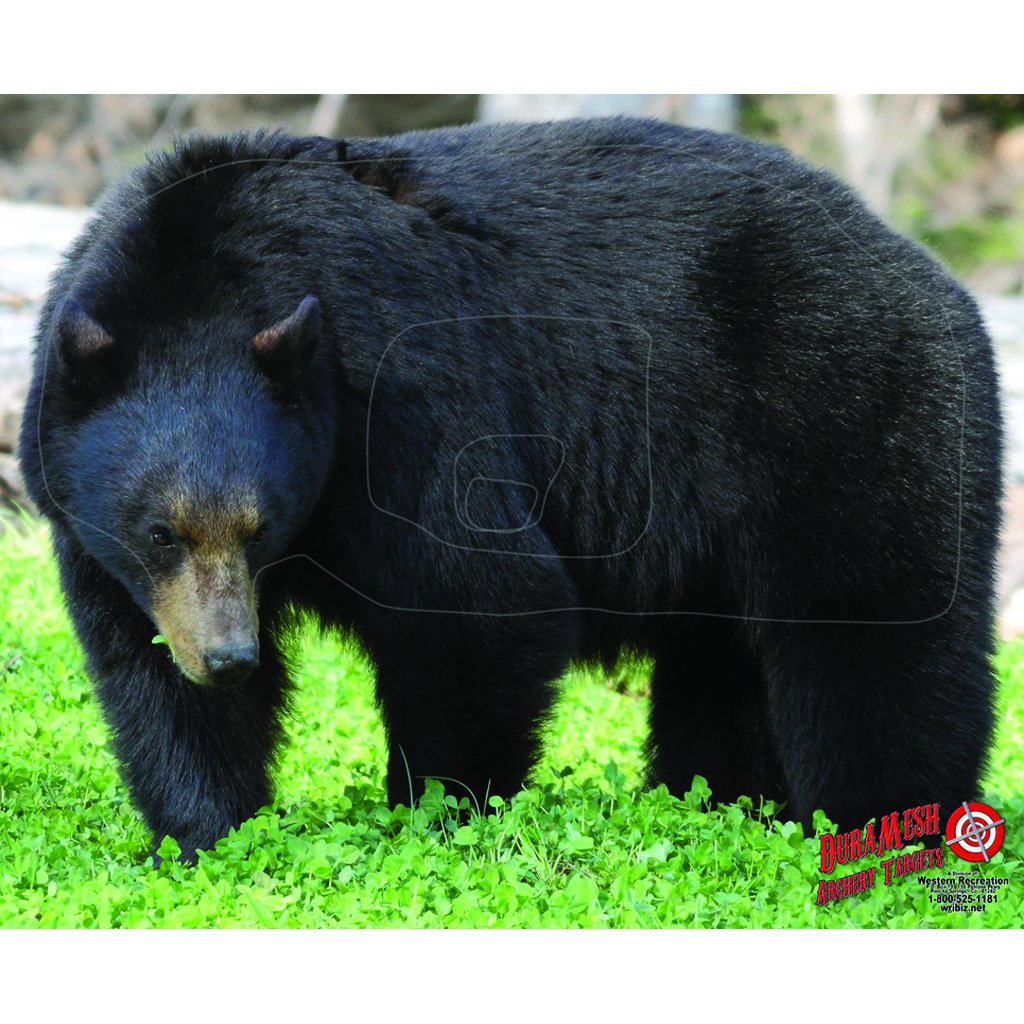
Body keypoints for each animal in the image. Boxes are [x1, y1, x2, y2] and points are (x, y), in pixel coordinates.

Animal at [19, 117, 1002, 864]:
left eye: (259, 527)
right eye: (161, 531)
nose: (230, 657)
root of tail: (934, 276)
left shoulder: (405, 394)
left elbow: (479, 599)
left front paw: (435, 808)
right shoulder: (101, 531)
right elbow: (145, 667)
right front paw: (200, 832)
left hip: (845, 413)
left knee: (874, 637)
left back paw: (885, 823)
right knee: (724, 667)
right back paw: (716, 799)